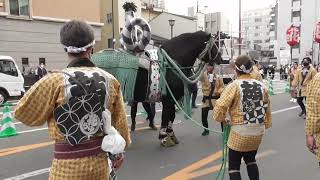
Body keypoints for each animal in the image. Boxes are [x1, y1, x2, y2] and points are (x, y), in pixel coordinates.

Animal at [92, 2, 222, 147]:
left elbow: (171, 116)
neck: (172, 61)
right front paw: (164, 136)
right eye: (215, 45)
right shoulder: (169, 99)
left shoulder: (172, 98)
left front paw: (171, 136)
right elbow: (167, 116)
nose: (221, 58)